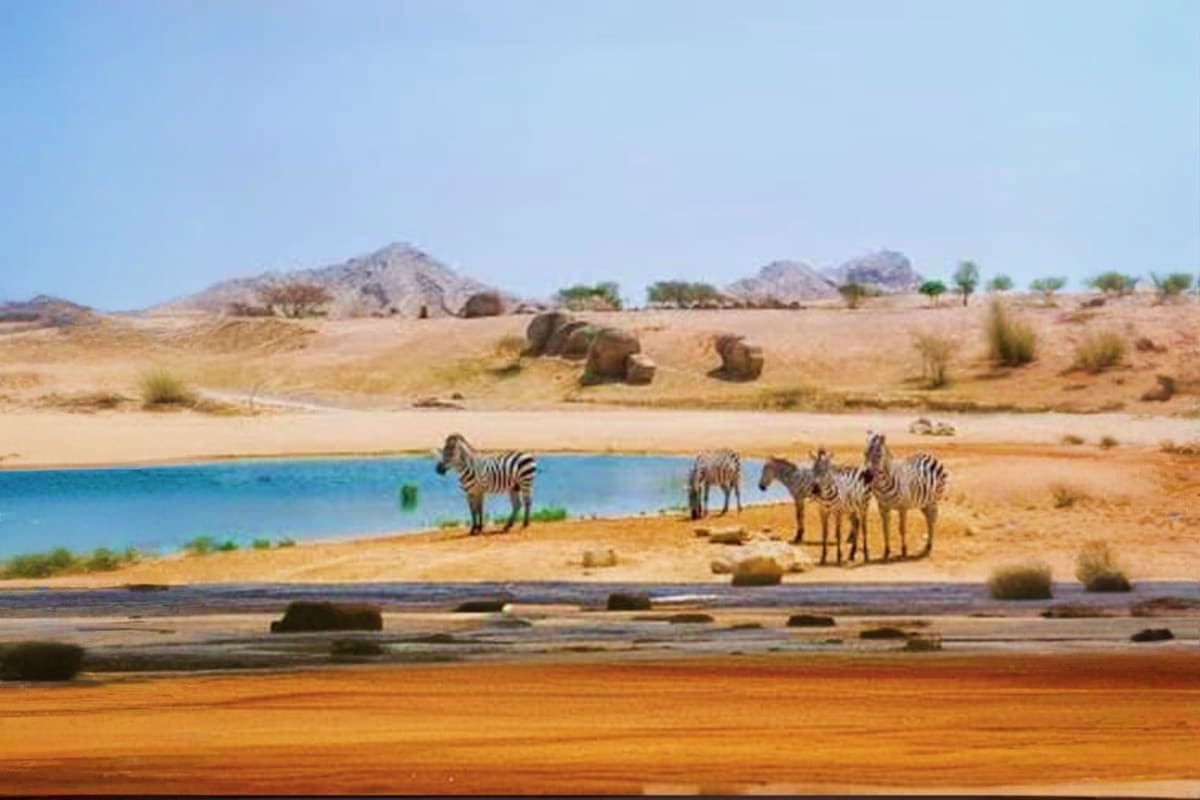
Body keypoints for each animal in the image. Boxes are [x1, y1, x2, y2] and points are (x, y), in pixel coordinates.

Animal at [862, 431, 948, 560]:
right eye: (865, 453)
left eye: (878, 455)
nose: (867, 476)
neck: (883, 484)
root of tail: (928, 454)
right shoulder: (882, 507)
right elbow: (885, 528)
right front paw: (886, 551)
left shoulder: (903, 507)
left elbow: (901, 529)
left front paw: (904, 550)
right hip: (924, 502)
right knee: (928, 519)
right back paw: (927, 545)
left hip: (934, 499)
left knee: (932, 520)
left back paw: (929, 546)